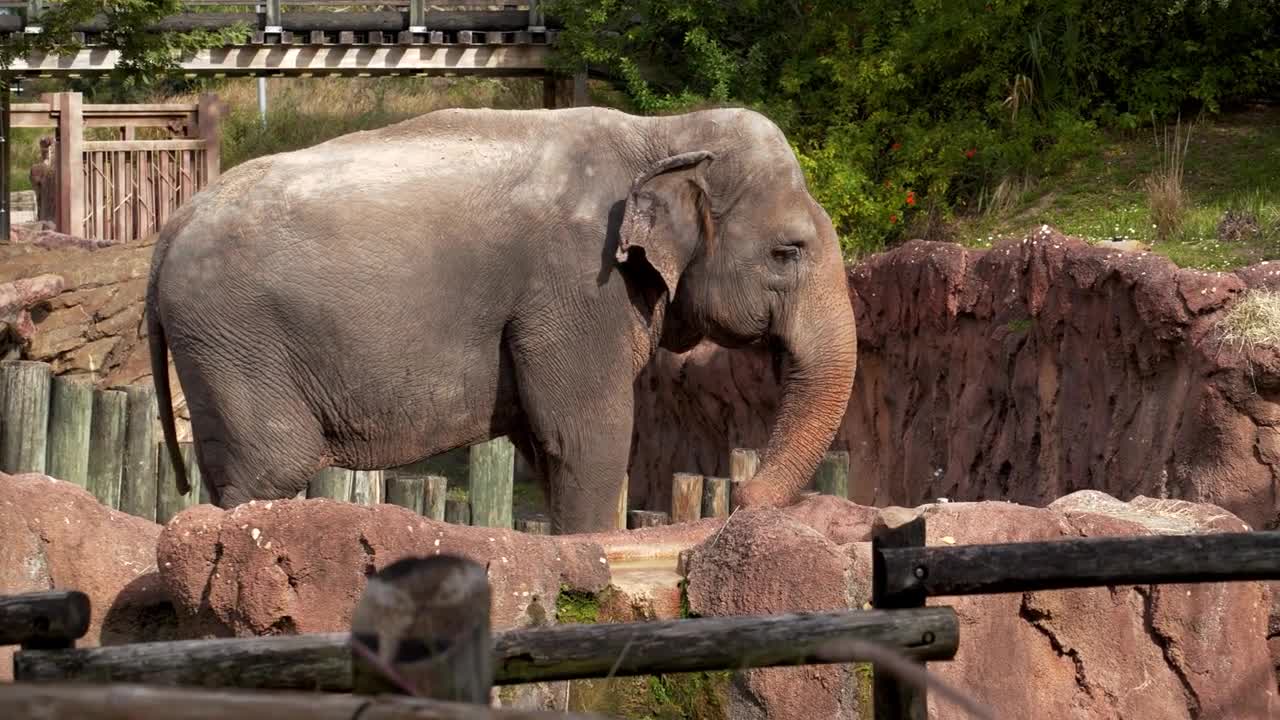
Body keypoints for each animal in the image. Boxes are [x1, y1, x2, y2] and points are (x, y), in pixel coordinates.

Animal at [145, 105, 855, 532]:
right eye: (788, 251)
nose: (741, 501)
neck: (663, 132)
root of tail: (169, 226)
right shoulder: (578, 284)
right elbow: (588, 435)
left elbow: (546, 445)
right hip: (236, 342)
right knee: (271, 470)